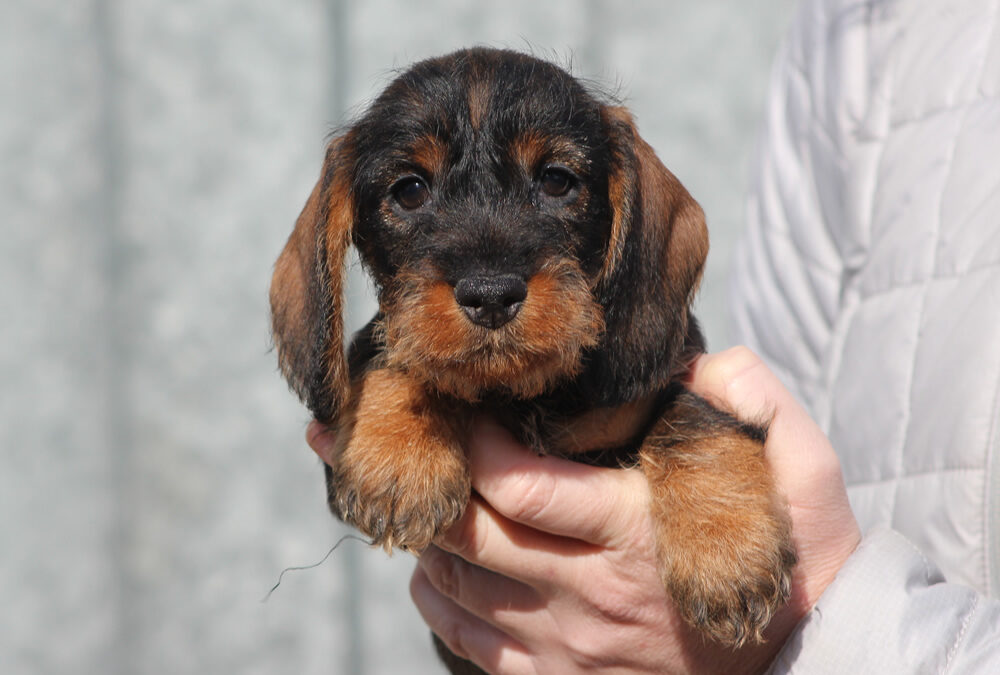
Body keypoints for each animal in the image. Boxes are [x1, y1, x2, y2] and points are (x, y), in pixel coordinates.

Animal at [268, 46, 796, 656]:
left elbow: (693, 418)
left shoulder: (671, 383)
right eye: (409, 190)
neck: (520, 395)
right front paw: (400, 455)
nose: (491, 294)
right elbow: (390, 353)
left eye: (556, 180)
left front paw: (727, 551)